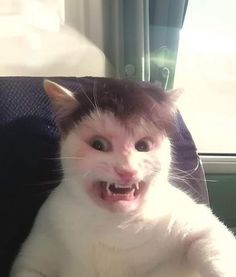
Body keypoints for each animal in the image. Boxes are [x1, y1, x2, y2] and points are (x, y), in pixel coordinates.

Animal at [10, 77, 236, 276]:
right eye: (98, 144)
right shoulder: (35, 256)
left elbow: (213, 246)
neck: (114, 227)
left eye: (143, 146)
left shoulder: (200, 227)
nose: (127, 169)